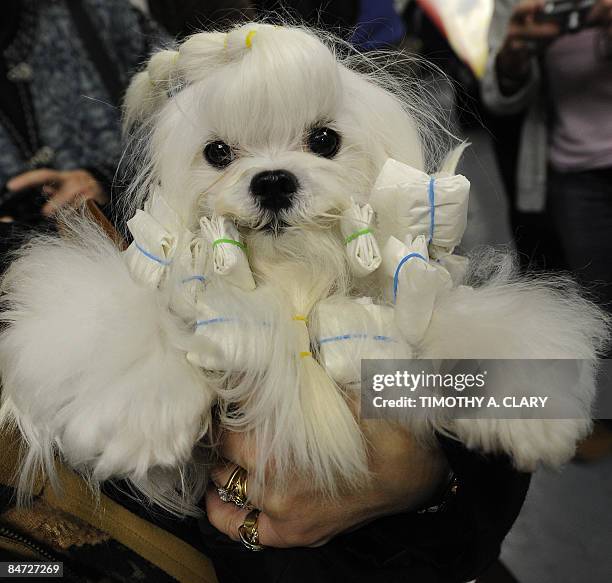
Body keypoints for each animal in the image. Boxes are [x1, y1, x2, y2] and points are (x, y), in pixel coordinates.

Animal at [0, 24, 608, 516]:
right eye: (217, 152)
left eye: (324, 140)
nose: (272, 181)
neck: (293, 280)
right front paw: (139, 416)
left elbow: (473, 326)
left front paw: (530, 416)